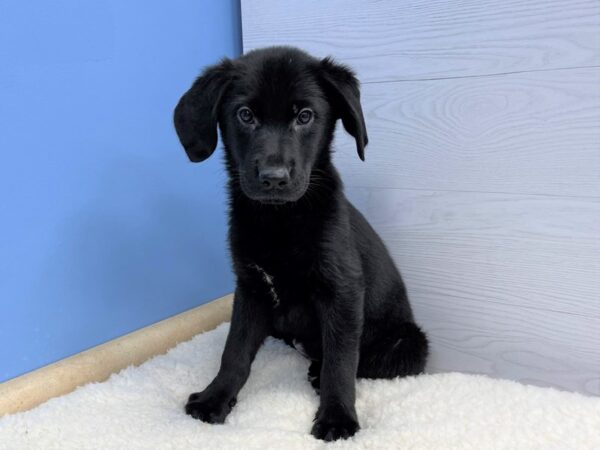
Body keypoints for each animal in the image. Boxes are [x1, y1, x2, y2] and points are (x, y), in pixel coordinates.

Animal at [172, 46, 426, 442]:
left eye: (305, 116)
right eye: (245, 115)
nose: (274, 179)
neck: (279, 220)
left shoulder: (342, 291)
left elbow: (340, 361)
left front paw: (337, 417)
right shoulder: (251, 288)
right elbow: (235, 351)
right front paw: (215, 397)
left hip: (408, 344)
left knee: (357, 361)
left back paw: (316, 375)